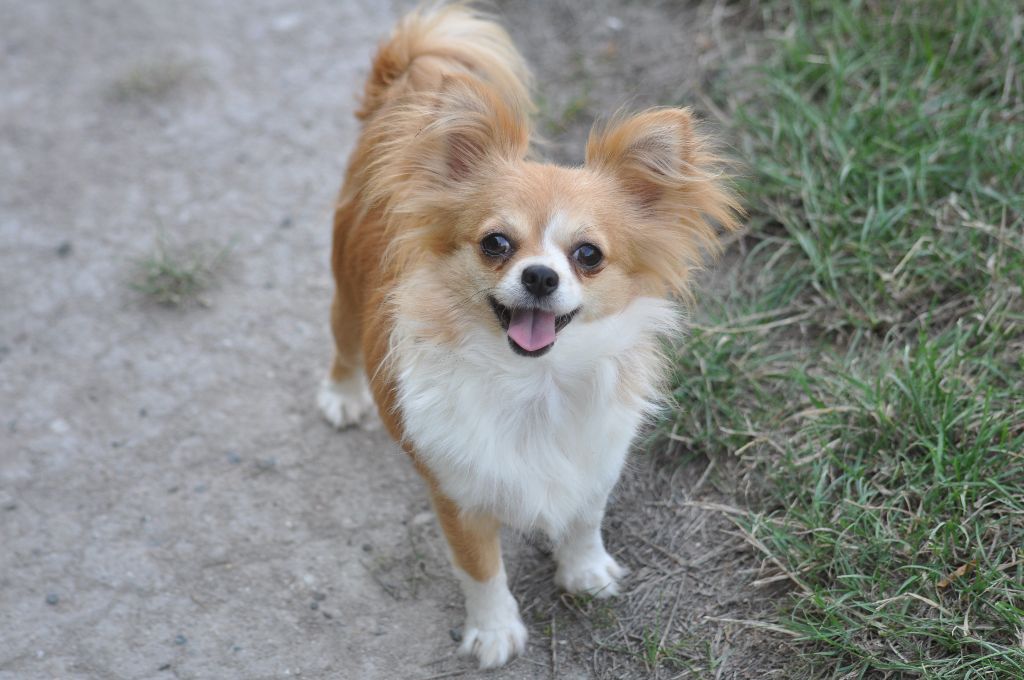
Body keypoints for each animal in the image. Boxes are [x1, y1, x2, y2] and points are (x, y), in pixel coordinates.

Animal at [318, 4, 741, 668]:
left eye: (588, 255)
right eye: (496, 243)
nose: (540, 275)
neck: (535, 382)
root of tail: (408, 83)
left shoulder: (596, 459)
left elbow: (585, 519)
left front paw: (585, 571)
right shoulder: (458, 496)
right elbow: (482, 570)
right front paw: (494, 632)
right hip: (347, 289)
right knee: (341, 341)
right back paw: (341, 395)